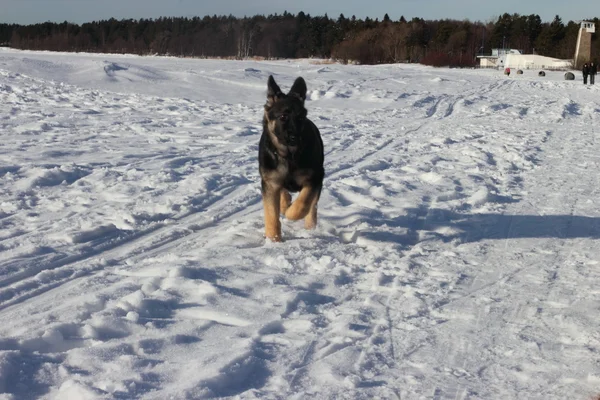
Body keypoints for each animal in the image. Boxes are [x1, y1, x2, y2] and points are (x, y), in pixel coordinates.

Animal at [258, 76, 324, 242]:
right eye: (283, 117)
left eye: (301, 118)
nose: (296, 139)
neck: (288, 155)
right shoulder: (270, 183)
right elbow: (271, 214)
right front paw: (273, 240)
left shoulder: (315, 178)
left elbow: (303, 203)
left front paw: (291, 213)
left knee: (312, 207)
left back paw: (309, 226)